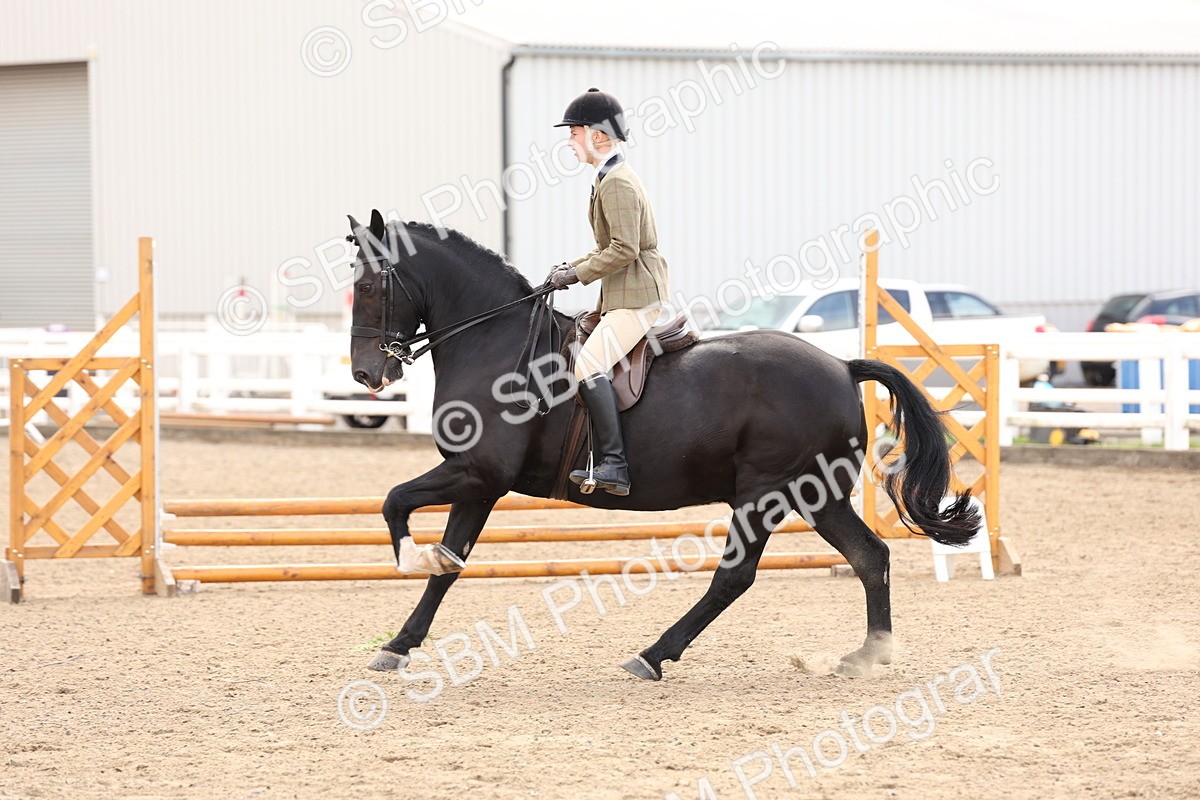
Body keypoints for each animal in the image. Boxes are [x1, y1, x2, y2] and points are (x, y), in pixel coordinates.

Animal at [345, 209, 978, 681]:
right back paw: (868, 655)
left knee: (736, 577)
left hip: (768, 493)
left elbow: (396, 503)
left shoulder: (479, 471)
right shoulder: (478, 483)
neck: (493, 342)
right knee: (870, 557)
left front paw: (409, 562)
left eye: (368, 285)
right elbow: (449, 565)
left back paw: (652, 656)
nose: (366, 375)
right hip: (814, 495)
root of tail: (843, 366)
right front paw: (399, 644)